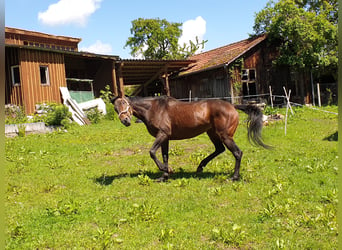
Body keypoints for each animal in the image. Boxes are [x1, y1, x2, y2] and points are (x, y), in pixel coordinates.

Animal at [112, 95, 270, 182]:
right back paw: (200, 166)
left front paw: (167, 170)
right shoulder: (165, 138)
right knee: (219, 149)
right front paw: (164, 176)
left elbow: (152, 152)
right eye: (115, 108)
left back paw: (233, 177)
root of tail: (232, 105)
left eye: (125, 103)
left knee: (237, 153)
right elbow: (164, 156)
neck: (153, 109)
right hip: (212, 133)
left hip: (225, 135)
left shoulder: (162, 134)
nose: (125, 120)